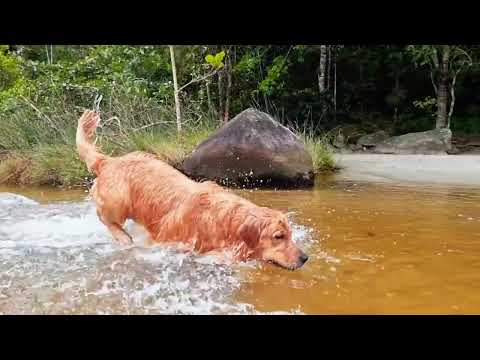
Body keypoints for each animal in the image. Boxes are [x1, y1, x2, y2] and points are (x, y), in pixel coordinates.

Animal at [75, 109, 308, 270]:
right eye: (278, 236)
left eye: (290, 235)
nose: (305, 258)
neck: (223, 220)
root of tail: (108, 160)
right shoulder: (168, 241)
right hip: (118, 201)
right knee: (106, 218)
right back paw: (124, 238)